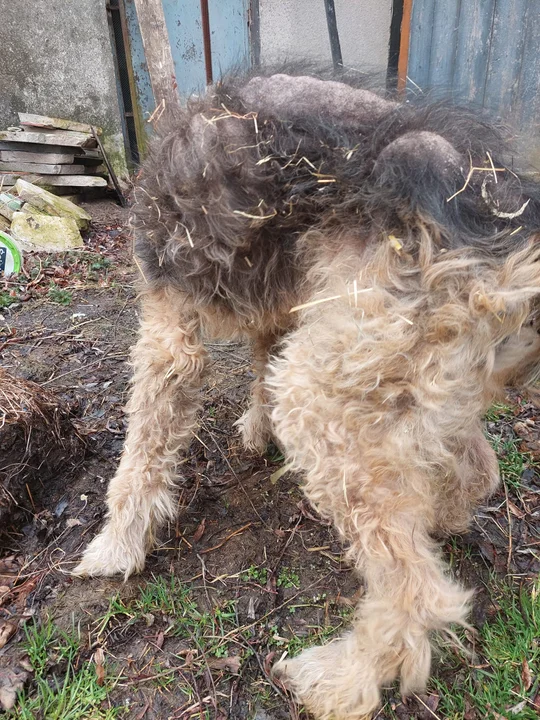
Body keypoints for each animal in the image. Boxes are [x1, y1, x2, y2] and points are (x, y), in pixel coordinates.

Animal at [75, 69, 540, 720]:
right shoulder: (284, 304)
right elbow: (257, 365)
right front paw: (256, 429)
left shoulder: (170, 326)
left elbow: (142, 449)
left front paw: (116, 546)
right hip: (410, 381)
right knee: (475, 470)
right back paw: (441, 515)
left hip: (321, 397)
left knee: (416, 591)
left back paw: (339, 681)